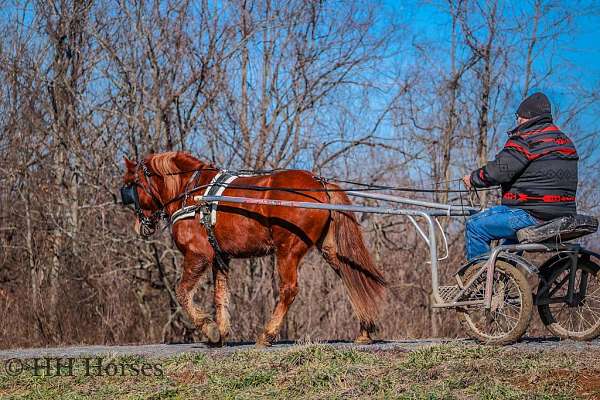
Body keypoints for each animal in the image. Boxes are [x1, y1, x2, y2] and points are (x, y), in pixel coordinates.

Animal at [120, 152, 386, 346]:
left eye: (130, 185)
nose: (139, 225)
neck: (193, 193)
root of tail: (320, 183)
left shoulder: (198, 254)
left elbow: (183, 292)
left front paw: (209, 329)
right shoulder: (220, 257)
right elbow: (220, 295)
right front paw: (221, 333)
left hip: (287, 250)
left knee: (289, 289)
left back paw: (267, 335)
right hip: (330, 250)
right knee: (352, 278)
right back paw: (364, 330)